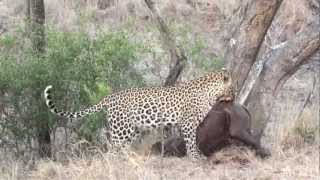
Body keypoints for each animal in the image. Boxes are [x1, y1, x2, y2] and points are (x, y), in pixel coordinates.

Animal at [44, 69, 235, 158]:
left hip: (132, 129)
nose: (234, 96)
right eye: (234, 87)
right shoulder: (187, 124)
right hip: (121, 129)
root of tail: (109, 97)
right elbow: (191, 142)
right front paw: (195, 157)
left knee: (121, 148)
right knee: (111, 150)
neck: (211, 93)